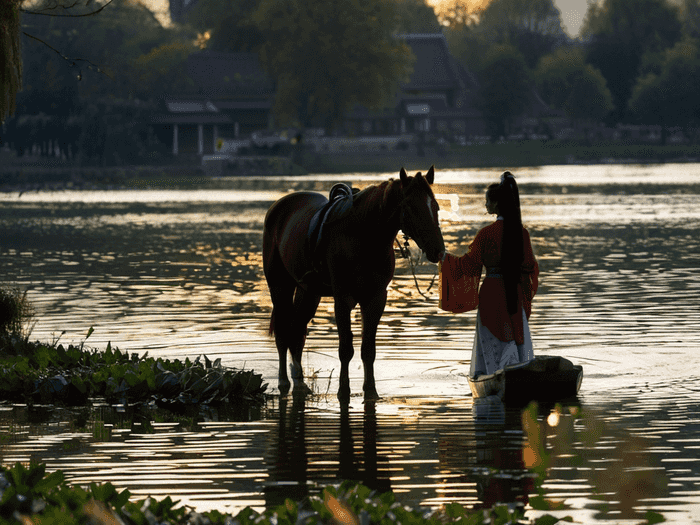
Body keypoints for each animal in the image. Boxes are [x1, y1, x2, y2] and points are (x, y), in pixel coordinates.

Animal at [260, 166, 446, 400]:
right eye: (411, 207)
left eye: (436, 206)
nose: (438, 250)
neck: (363, 236)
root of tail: (277, 208)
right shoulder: (343, 299)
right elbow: (346, 349)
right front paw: (343, 390)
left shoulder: (375, 299)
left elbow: (368, 349)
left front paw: (370, 390)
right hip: (280, 286)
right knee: (283, 333)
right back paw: (284, 381)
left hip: (309, 292)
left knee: (297, 332)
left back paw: (299, 381)